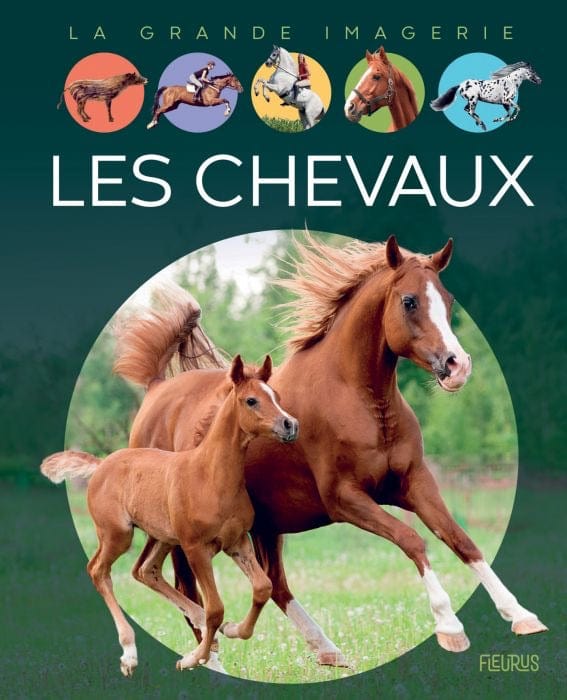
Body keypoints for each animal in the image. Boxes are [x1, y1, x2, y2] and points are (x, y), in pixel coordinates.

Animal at [41, 355, 299, 677]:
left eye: (276, 396)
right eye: (251, 400)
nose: (290, 424)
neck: (210, 476)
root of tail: (101, 465)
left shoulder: (237, 542)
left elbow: (262, 588)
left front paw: (233, 629)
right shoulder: (196, 548)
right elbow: (216, 608)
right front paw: (191, 658)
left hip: (162, 537)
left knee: (145, 570)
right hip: (118, 535)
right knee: (98, 570)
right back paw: (129, 653)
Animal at [114, 235, 548, 672]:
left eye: (448, 299)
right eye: (409, 301)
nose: (458, 366)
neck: (359, 400)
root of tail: (155, 390)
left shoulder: (414, 483)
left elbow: (461, 540)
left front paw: (522, 616)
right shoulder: (345, 499)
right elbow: (412, 540)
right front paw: (449, 627)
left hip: (266, 524)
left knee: (274, 584)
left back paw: (327, 649)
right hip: (186, 534)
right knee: (188, 590)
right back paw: (210, 661)